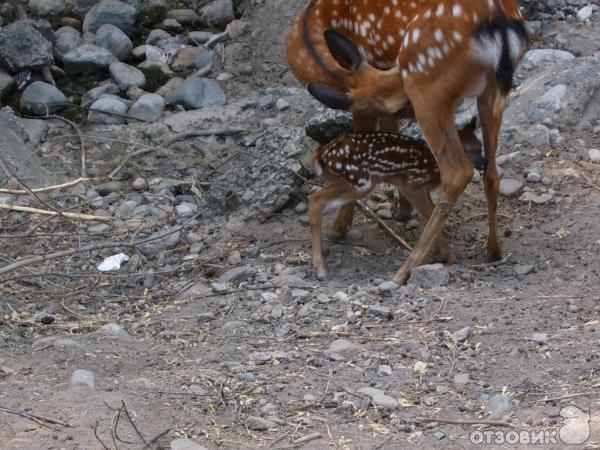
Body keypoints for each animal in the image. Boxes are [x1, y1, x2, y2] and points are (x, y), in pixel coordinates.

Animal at [310, 118, 482, 280]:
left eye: (480, 145)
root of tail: (320, 156)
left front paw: (442, 255)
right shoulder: (411, 185)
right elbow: (430, 215)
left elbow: (433, 213)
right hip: (361, 181)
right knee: (316, 199)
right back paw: (321, 270)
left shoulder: (424, 189)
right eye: (468, 149)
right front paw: (450, 258)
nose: (484, 162)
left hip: (345, 180)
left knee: (314, 196)